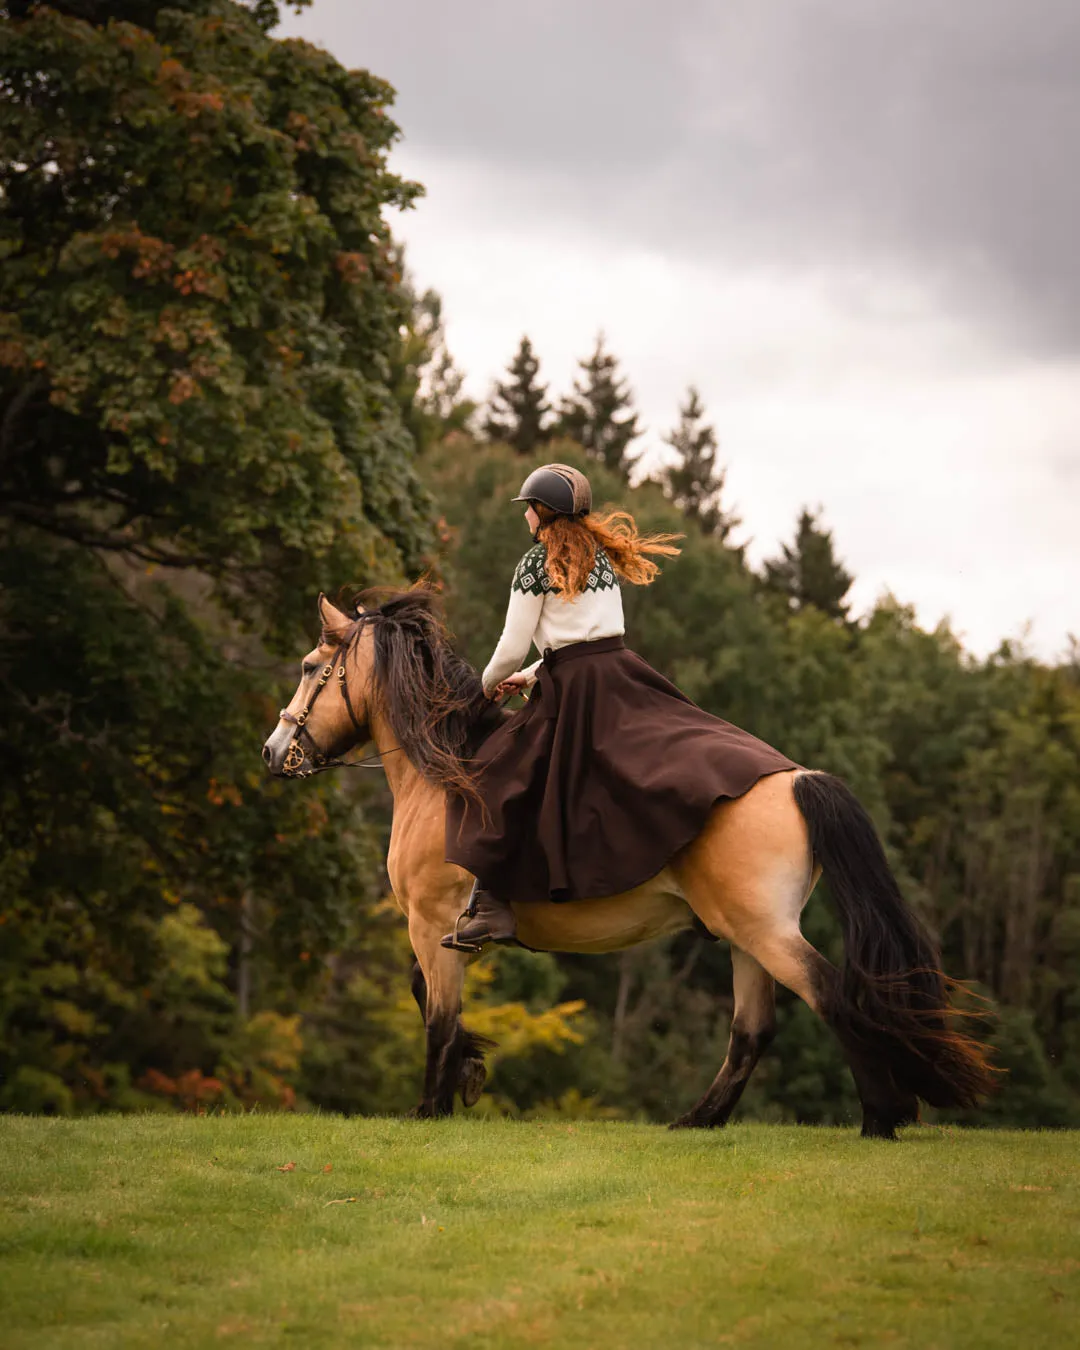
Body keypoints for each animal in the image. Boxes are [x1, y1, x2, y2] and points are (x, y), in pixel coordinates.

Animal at [261, 591, 993, 1139]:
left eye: (309, 666)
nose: (273, 752)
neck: (444, 773)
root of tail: (798, 780)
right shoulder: (436, 930)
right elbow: (427, 997)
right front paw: (468, 1073)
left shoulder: (431, 920)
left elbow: (438, 1016)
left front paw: (431, 1108)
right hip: (743, 936)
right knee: (753, 1030)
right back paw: (699, 1121)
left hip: (763, 932)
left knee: (832, 998)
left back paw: (879, 1119)